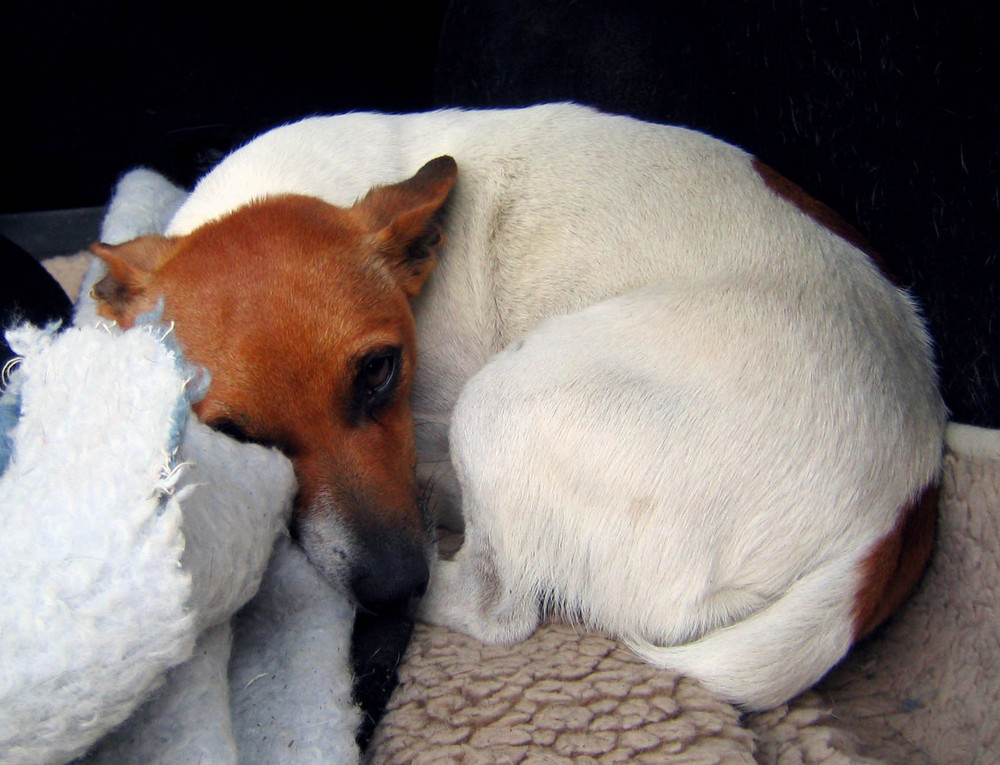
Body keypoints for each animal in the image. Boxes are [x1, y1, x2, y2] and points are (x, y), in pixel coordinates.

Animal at [92, 104, 944, 708]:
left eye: (380, 370)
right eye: (236, 433)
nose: (392, 584)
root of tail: (905, 495)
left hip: (500, 403)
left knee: (496, 606)